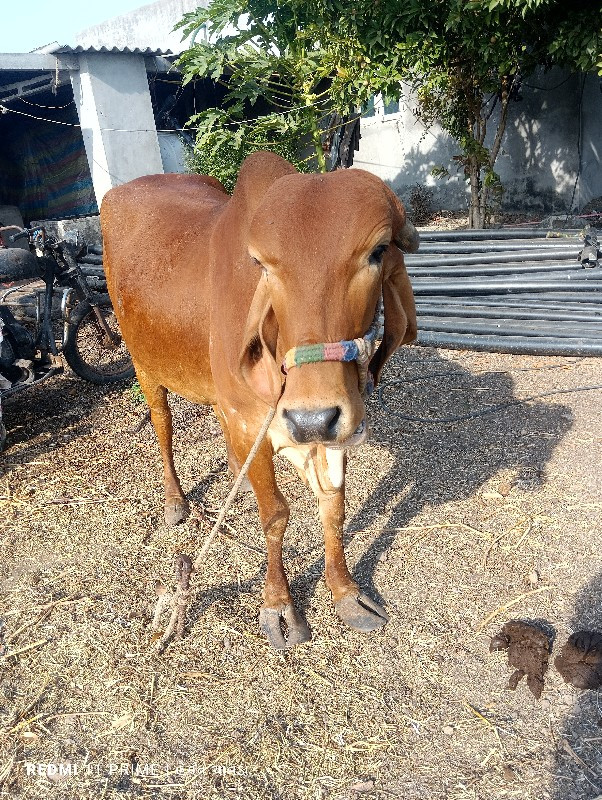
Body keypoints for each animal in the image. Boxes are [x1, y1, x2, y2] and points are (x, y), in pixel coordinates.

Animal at [101, 152, 414, 648]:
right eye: (263, 266)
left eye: (378, 251)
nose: (312, 418)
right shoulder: (257, 421)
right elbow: (276, 516)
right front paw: (278, 605)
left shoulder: (329, 427)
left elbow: (334, 504)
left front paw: (345, 590)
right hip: (144, 364)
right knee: (162, 424)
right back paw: (175, 500)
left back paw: (237, 476)